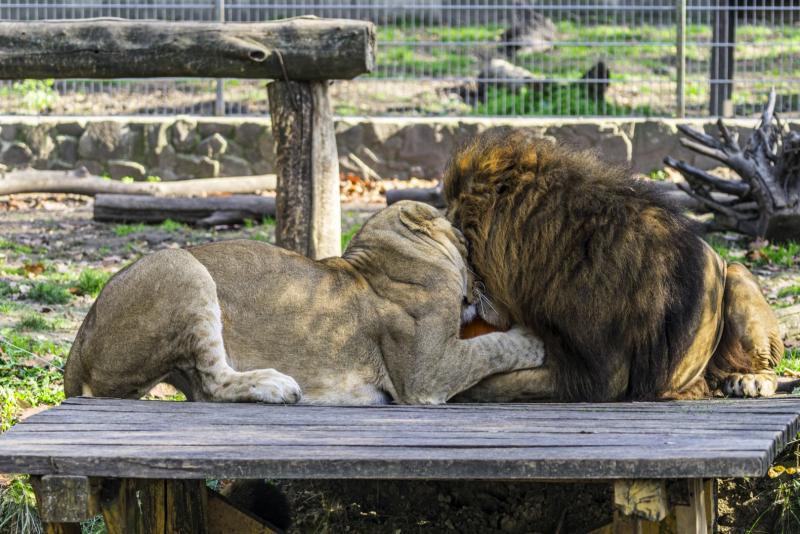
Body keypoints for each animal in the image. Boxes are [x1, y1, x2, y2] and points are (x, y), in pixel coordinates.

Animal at [65, 201, 548, 406]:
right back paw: (278, 386)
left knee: (202, 389)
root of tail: (76, 351)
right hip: (181, 266)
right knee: (215, 382)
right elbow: (490, 348)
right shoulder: (426, 374)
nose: (483, 283)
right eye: (468, 246)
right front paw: (533, 339)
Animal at [446, 130, 784, 404]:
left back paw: (748, 380)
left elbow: (498, 384)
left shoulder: (603, 375)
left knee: (767, 367)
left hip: (736, 275)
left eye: (460, 238)